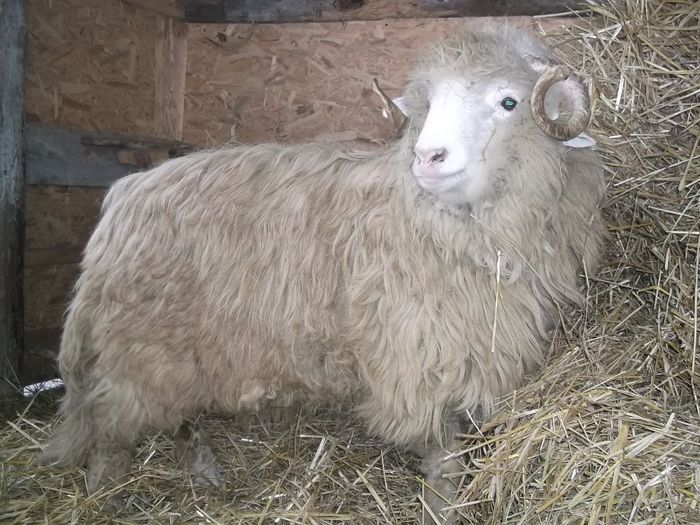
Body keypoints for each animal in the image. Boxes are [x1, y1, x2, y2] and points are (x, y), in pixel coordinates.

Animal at [41, 22, 606, 523]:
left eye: (509, 102)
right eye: (427, 107)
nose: (428, 157)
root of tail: (122, 197)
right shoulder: (418, 361)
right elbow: (441, 456)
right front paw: (442, 508)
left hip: (185, 354)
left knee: (182, 420)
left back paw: (203, 474)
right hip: (136, 353)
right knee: (112, 434)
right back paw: (103, 496)